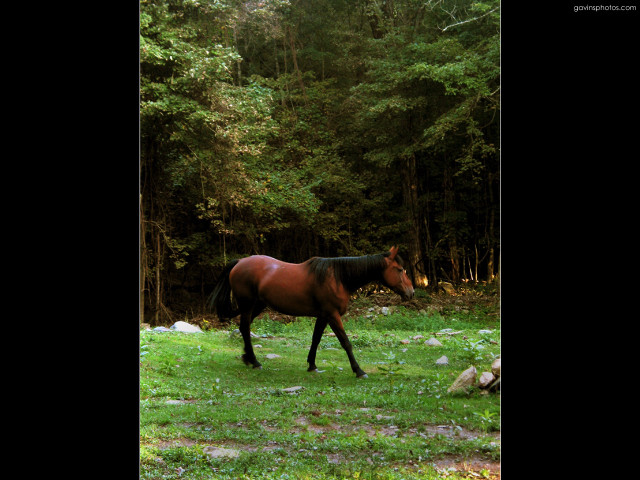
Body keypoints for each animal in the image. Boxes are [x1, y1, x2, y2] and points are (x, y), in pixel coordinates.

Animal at [208, 246, 414, 378]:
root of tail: (240, 262)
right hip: (248, 305)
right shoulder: (332, 315)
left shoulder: (323, 316)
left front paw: (312, 365)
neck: (338, 278)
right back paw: (255, 361)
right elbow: (346, 343)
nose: (411, 292)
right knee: (244, 328)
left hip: (257, 305)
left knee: (244, 328)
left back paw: (249, 359)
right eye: (400, 269)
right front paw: (358, 371)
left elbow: (316, 339)